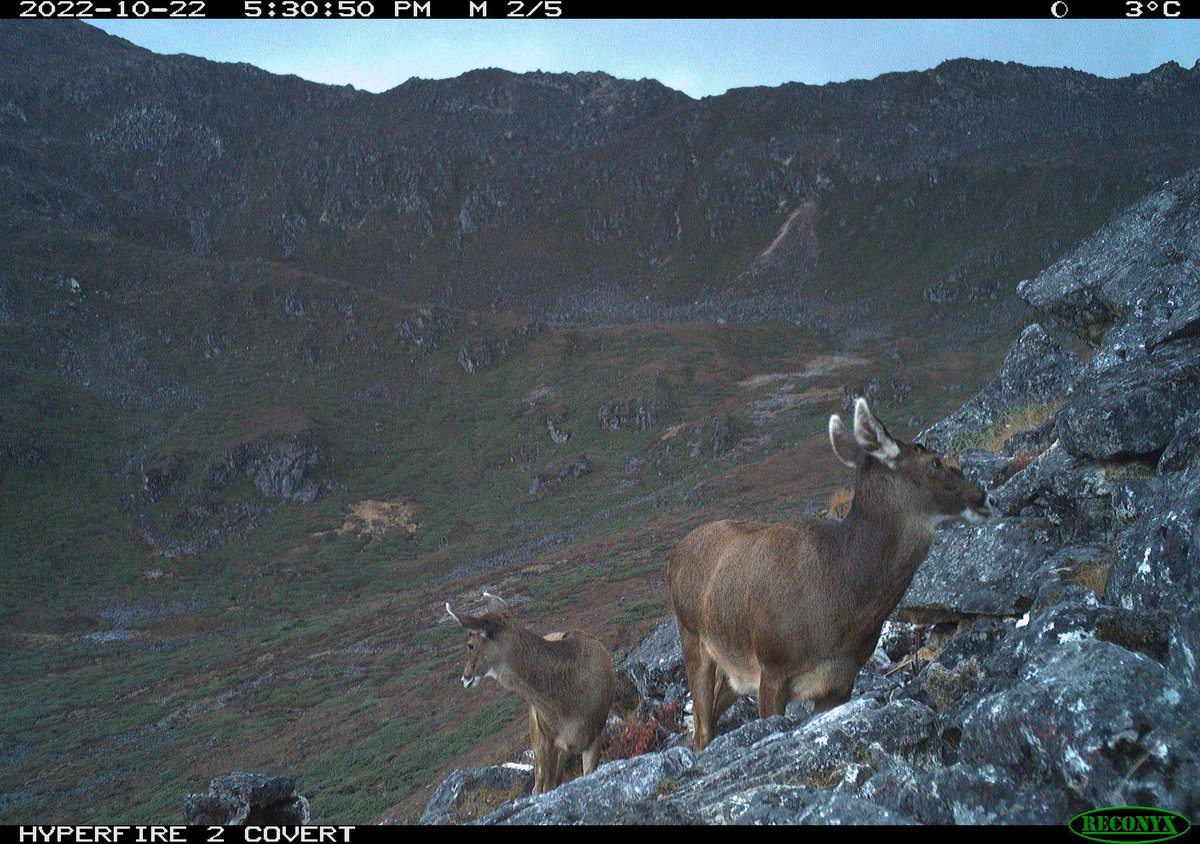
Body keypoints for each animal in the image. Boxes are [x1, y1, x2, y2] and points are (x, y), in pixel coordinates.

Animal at [446, 592, 617, 794]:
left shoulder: (595, 733)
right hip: (536, 734)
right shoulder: (547, 737)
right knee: (539, 782)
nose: (465, 678)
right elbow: (546, 786)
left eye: (470, 645)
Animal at [668, 397, 994, 750]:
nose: (985, 498)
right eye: (935, 461)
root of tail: (676, 553)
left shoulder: (841, 680)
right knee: (702, 728)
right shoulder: (772, 666)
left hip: (735, 667)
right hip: (692, 636)